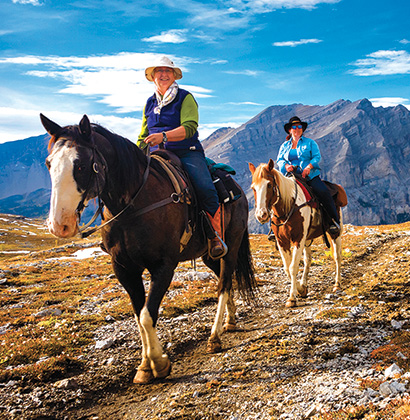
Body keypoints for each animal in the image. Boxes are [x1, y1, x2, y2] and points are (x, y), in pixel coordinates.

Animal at [40, 114, 256, 384]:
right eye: (49, 163)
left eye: (80, 165)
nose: (59, 225)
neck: (133, 205)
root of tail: (236, 187)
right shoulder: (124, 269)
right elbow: (137, 315)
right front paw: (144, 366)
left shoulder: (163, 266)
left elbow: (146, 314)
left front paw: (158, 364)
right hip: (208, 255)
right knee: (223, 281)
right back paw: (231, 320)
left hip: (232, 245)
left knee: (224, 283)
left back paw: (214, 337)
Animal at [248, 159, 344, 306]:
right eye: (253, 187)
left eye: (269, 185)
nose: (261, 215)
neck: (287, 208)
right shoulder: (282, 242)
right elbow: (287, 268)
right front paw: (300, 290)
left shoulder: (298, 239)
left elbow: (293, 267)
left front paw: (292, 298)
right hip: (307, 239)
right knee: (308, 259)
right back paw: (304, 284)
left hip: (334, 233)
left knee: (337, 256)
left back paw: (337, 284)